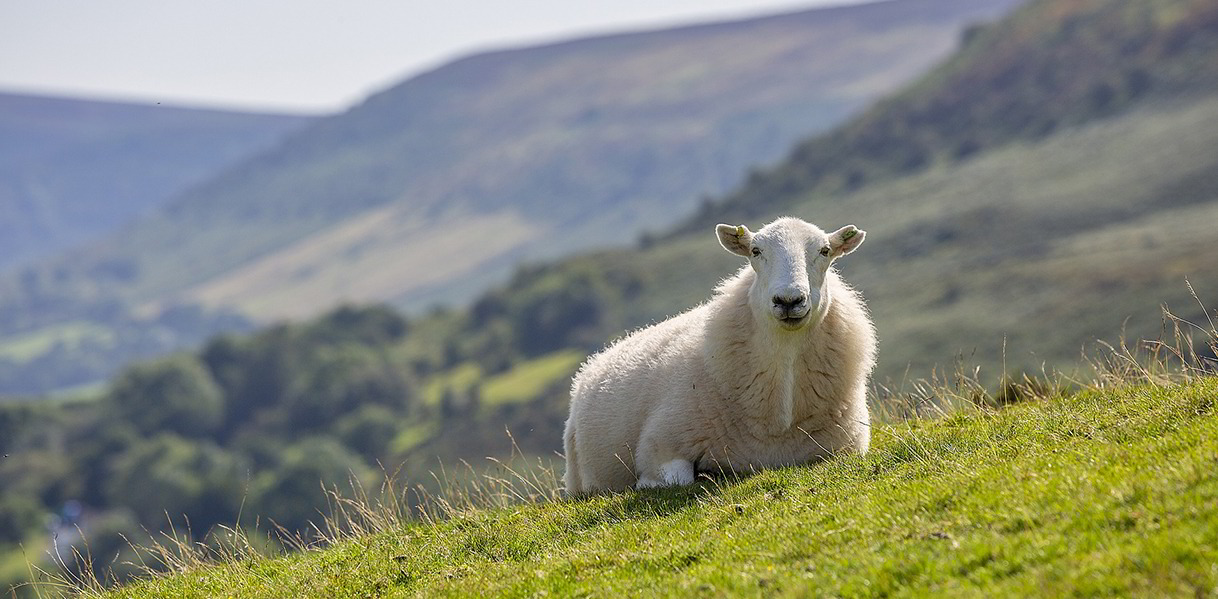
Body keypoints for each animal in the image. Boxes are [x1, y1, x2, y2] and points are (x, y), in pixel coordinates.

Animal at [560, 217, 876, 494]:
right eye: (755, 251)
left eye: (825, 251)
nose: (789, 300)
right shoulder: (660, 446)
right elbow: (676, 479)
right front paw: (652, 484)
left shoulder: (847, 448)